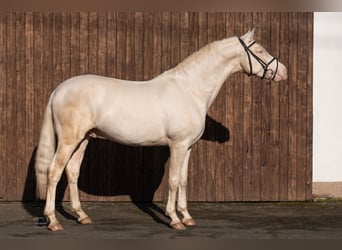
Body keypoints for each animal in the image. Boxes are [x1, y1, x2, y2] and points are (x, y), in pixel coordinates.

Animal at [34, 28, 286, 230]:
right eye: (260, 50)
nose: (284, 71)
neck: (190, 90)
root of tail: (58, 90)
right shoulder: (178, 145)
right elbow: (173, 180)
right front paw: (174, 219)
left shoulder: (188, 147)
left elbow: (183, 180)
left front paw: (187, 217)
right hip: (68, 140)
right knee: (54, 172)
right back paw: (53, 221)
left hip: (84, 139)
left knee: (72, 172)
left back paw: (82, 216)